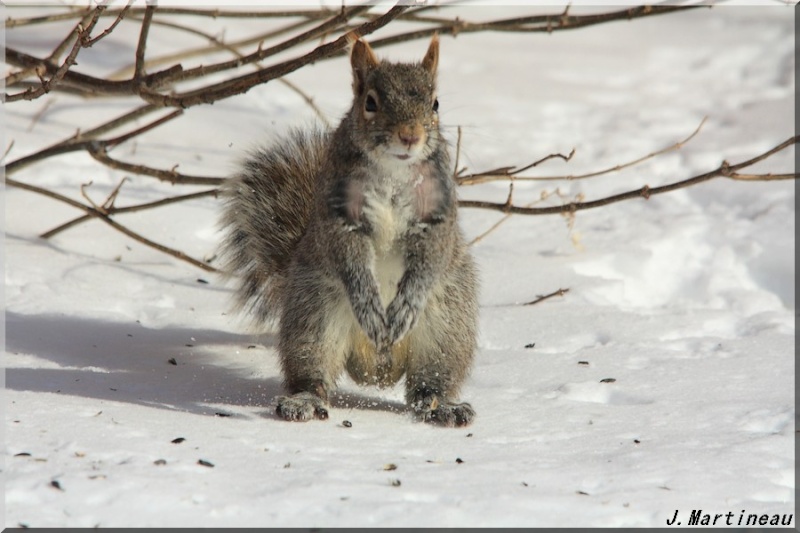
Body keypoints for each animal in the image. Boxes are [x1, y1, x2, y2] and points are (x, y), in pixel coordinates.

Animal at [219, 33, 478, 426]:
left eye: (435, 103)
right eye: (370, 102)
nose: (410, 135)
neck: (393, 171)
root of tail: (377, 369)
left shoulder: (437, 218)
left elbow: (431, 257)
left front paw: (405, 305)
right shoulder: (339, 217)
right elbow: (349, 259)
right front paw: (369, 304)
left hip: (448, 322)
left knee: (429, 382)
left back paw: (442, 406)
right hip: (314, 313)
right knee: (312, 370)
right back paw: (304, 401)